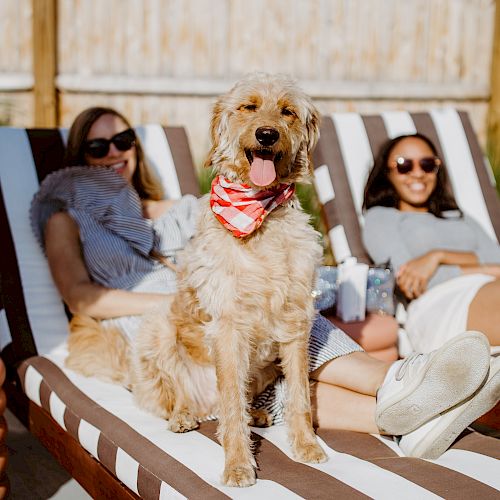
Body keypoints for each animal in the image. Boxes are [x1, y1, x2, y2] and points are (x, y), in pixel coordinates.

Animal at [134, 72, 328, 486]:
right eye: (249, 107)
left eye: (287, 112)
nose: (267, 134)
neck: (260, 215)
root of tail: (204, 404)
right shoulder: (227, 324)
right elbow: (232, 406)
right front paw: (238, 464)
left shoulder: (296, 321)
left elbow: (300, 396)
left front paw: (306, 445)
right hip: (158, 326)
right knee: (179, 396)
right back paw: (183, 415)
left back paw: (255, 413)